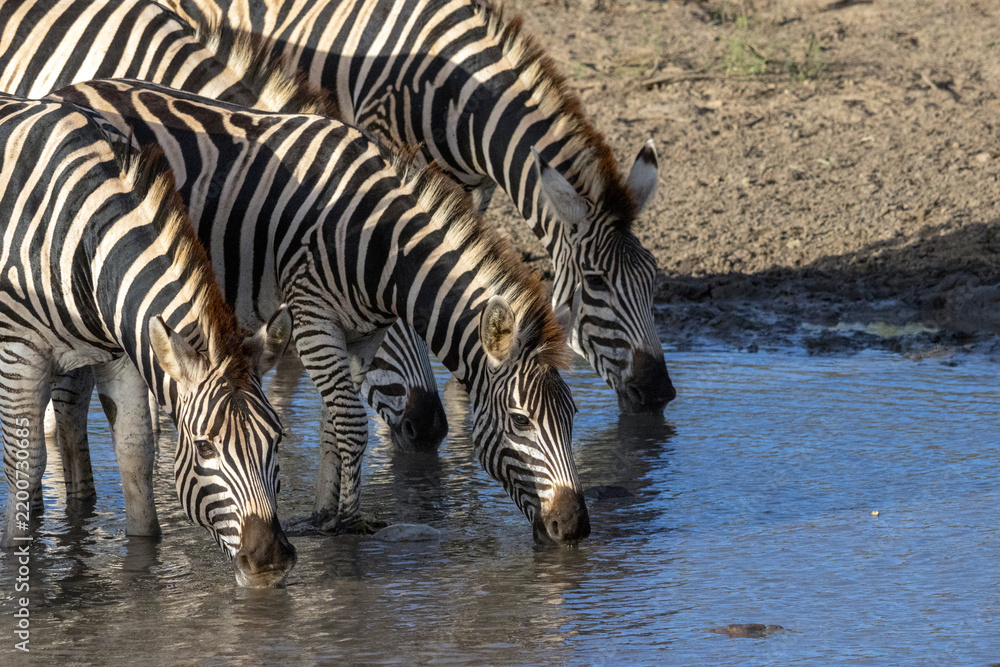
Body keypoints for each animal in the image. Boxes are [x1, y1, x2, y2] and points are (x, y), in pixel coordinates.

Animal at [0, 93, 296, 586]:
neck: (82, 236)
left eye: (277, 440)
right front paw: (16, 555)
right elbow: (26, 463)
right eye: (204, 447)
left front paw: (143, 563)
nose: (269, 561)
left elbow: (136, 455)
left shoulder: (120, 354)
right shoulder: (21, 351)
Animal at [47, 77, 591, 542]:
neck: (379, 242)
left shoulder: (359, 334)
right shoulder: (311, 318)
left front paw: (325, 512)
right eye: (521, 422)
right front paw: (348, 523)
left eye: (573, 415)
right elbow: (351, 422)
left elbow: (336, 423)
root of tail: (69, 90)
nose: (575, 528)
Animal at [159, 0, 677, 414]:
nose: (661, 394)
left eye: (652, 275)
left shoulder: (474, 188)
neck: (462, 92)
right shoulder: (381, 150)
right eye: (596, 282)